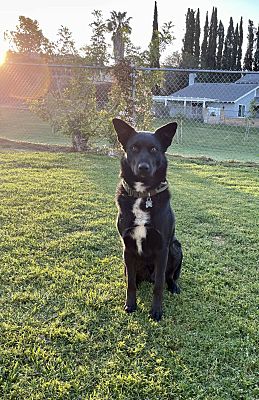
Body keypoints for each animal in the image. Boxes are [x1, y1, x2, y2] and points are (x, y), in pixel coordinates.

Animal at [113, 117, 183, 320]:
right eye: (134, 148)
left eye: (154, 149)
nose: (143, 168)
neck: (143, 195)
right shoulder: (127, 248)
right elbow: (130, 284)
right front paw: (130, 304)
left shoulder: (163, 249)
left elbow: (159, 285)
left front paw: (156, 310)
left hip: (176, 248)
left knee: (168, 277)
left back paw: (173, 286)